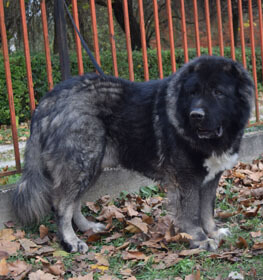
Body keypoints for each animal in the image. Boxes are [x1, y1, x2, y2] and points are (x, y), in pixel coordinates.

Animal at [12, 55, 256, 253]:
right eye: (193, 92)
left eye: (218, 92)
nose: (196, 115)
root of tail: (47, 101)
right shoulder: (186, 180)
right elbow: (191, 213)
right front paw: (199, 239)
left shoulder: (211, 178)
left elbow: (207, 210)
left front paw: (213, 232)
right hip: (81, 163)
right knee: (62, 205)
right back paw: (71, 241)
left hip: (91, 166)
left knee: (74, 202)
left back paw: (87, 228)